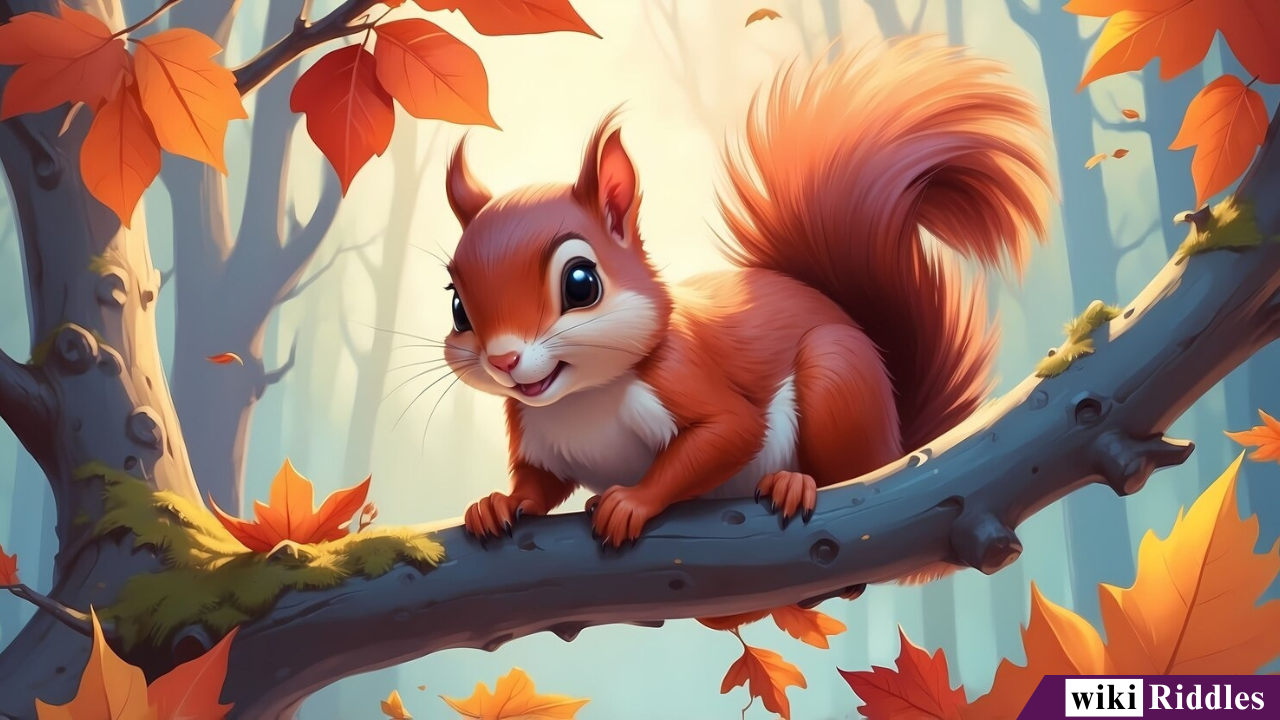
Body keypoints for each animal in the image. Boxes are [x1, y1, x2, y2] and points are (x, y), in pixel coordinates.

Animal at [442, 37, 1052, 548]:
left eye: (581, 283)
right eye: (456, 305)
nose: (504, 360)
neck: (581, 399)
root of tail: (899, 441)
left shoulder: (684, 378)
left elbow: (728, 435)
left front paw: (632, 501)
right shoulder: (537, 435)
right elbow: (539, 485)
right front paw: (499, 503)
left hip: (838, 376)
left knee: (853, 469)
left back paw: (796, 483)